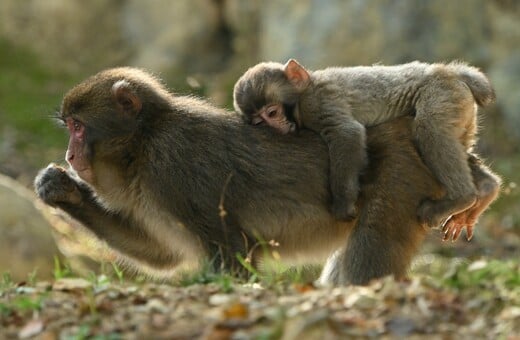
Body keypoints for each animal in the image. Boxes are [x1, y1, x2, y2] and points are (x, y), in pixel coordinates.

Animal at [233, 59, 496, 227]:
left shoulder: (316, 103)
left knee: (429, 127)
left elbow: (347, 134)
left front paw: (343, 203)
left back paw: (462, 198)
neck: (305, 89)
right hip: (460, 109)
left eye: (272, 112)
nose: (275, 127)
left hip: (443, 94)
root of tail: (450, 71)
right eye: (259, 121)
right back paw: (486, 189)